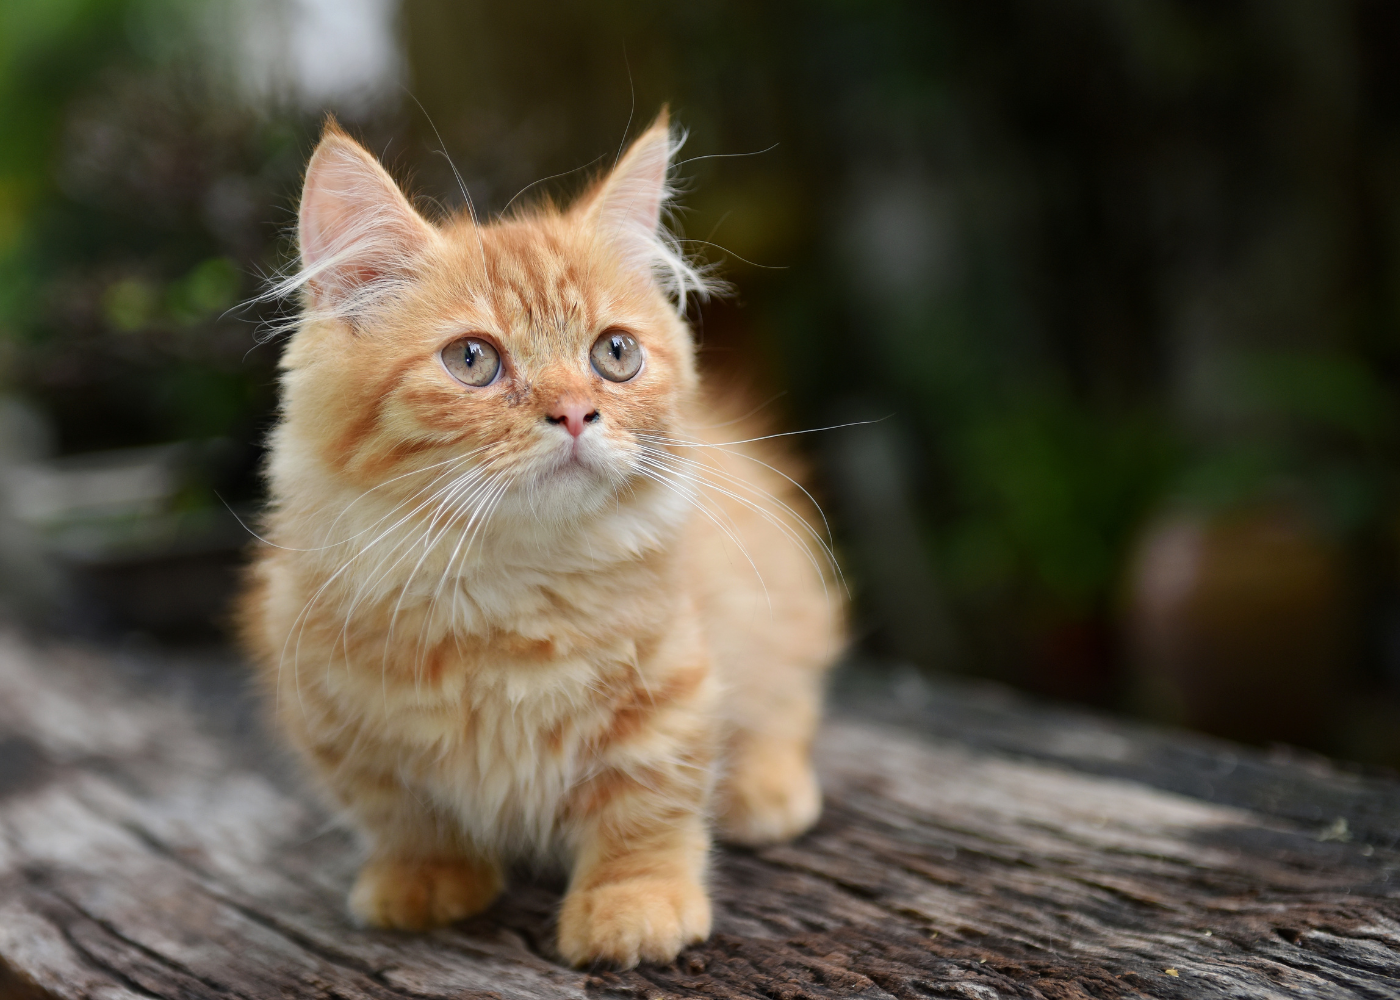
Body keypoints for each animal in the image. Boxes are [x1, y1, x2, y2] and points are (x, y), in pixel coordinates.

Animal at [236, 111, 840, 963]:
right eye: (472, 360)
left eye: (614, 354)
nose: (576, 412)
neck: (508, 587)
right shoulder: (333, 712)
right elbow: (402, 810)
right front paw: (427, 880)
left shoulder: (671, 687)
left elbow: (646, 807)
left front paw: (633, 906)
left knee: (788, 702)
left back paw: (764, 790)